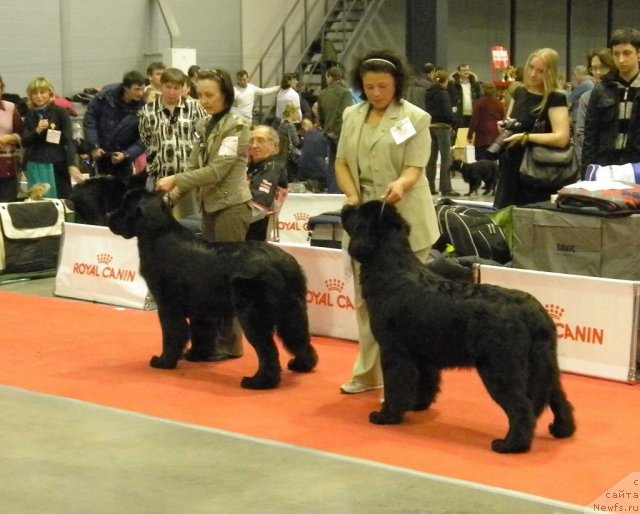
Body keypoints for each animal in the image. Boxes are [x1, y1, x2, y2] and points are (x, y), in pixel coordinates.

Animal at [110, 188, 320, 388]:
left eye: (125, 207)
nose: (108, 215)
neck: (157, 236)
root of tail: (283, 262)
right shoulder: (202, 307)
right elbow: (201, 332)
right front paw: (196, 356)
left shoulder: (168, 306)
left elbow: (172, 334)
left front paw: (164, 361)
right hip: (293, 311)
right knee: (299, 338)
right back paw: (301, 365)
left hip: (253, 315)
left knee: (268, 350)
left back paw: (259, 382)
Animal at [342, 200, 576, 452]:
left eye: (358, 213)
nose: (346, 206)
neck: (392, 269)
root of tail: (533, 312)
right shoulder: (423, 353)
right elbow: (425, 382)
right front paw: (417, 405)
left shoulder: (394, 350)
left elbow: (396, 385)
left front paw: (386, 416)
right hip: (544, 363)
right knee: (559, 397)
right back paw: (562, 430)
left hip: (500, 367)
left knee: (521, 407)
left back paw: (510, 445)